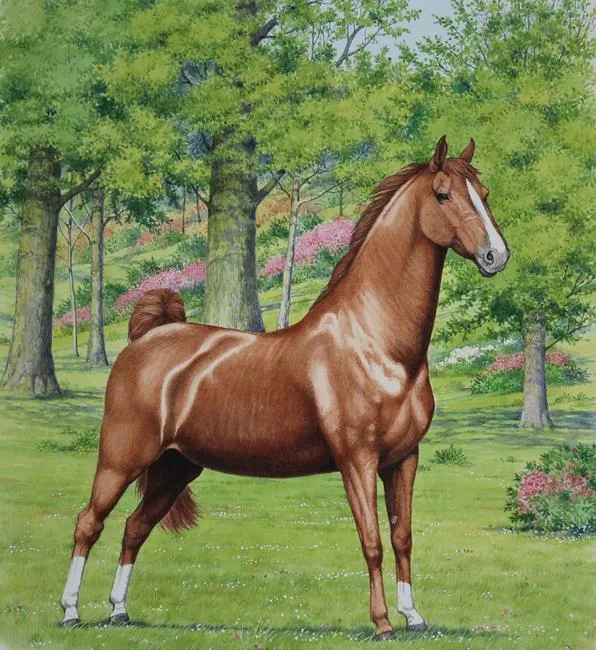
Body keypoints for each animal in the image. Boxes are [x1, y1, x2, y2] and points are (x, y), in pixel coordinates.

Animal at [60, 136, 509, 639]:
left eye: (484, 193)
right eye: (444, 195)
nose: (496, 255)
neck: (376, 343)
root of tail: (146, 339)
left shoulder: (403, 459)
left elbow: (402, 536)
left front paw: (413, 616)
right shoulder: (357, 460)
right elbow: (371, 541)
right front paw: (382, 623)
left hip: (175, 468)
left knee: (135, 528)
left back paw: (119, 610)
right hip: (121, 460)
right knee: (88, 524)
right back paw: (71, 611)